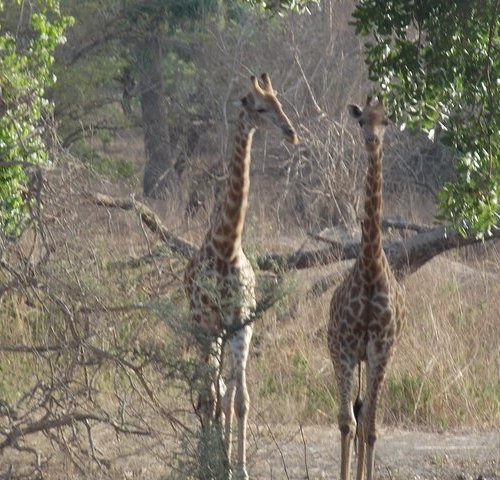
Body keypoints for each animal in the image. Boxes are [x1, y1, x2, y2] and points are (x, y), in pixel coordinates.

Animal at [186, 72, 298, 480]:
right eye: (258, 107)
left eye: (280, 102)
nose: (291, 133)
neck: (226, 247)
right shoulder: (211, 324)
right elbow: (216, 396)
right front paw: (214, 461)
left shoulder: (241, 324)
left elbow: (241, 400)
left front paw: (240, 468)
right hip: (202, 328)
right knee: (207, 391)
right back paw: (206, 457)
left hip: (222, 333)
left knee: (221, 390)